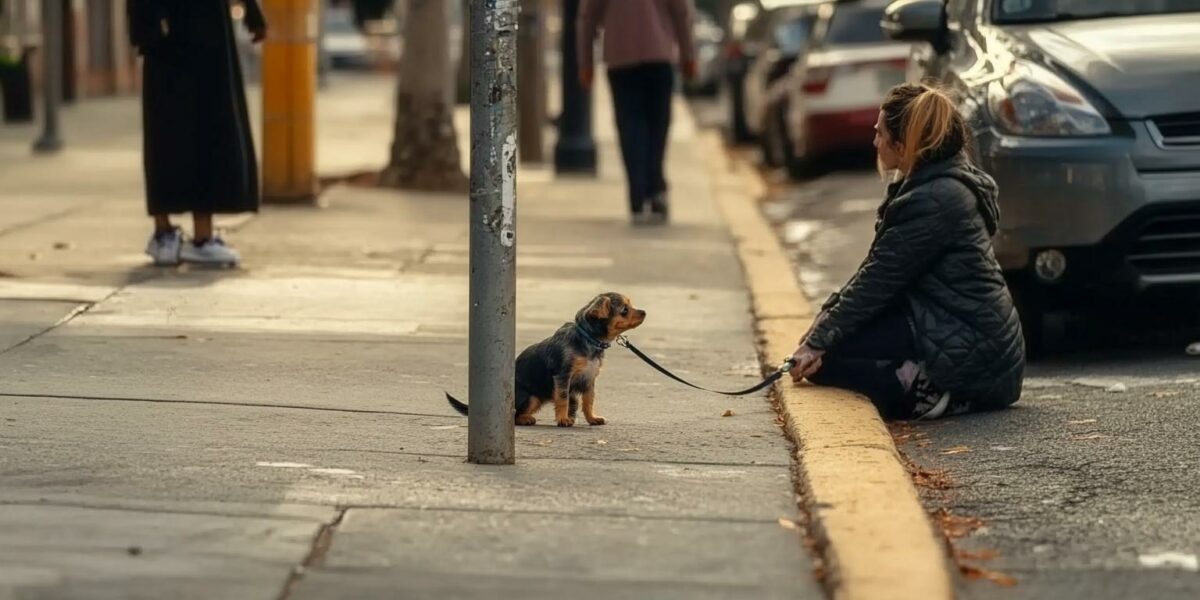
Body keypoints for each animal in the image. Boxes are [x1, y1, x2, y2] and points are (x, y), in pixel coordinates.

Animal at [444, 291, 648, 427]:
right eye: (624, 310)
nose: (644, 312)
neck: (589, 339)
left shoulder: (589, 380)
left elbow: (588, 401)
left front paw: (592, 418)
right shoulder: (563, 377)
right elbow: (563, 399)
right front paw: (564, 419)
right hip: (531, 398)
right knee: (514, 416)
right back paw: (526, 419)